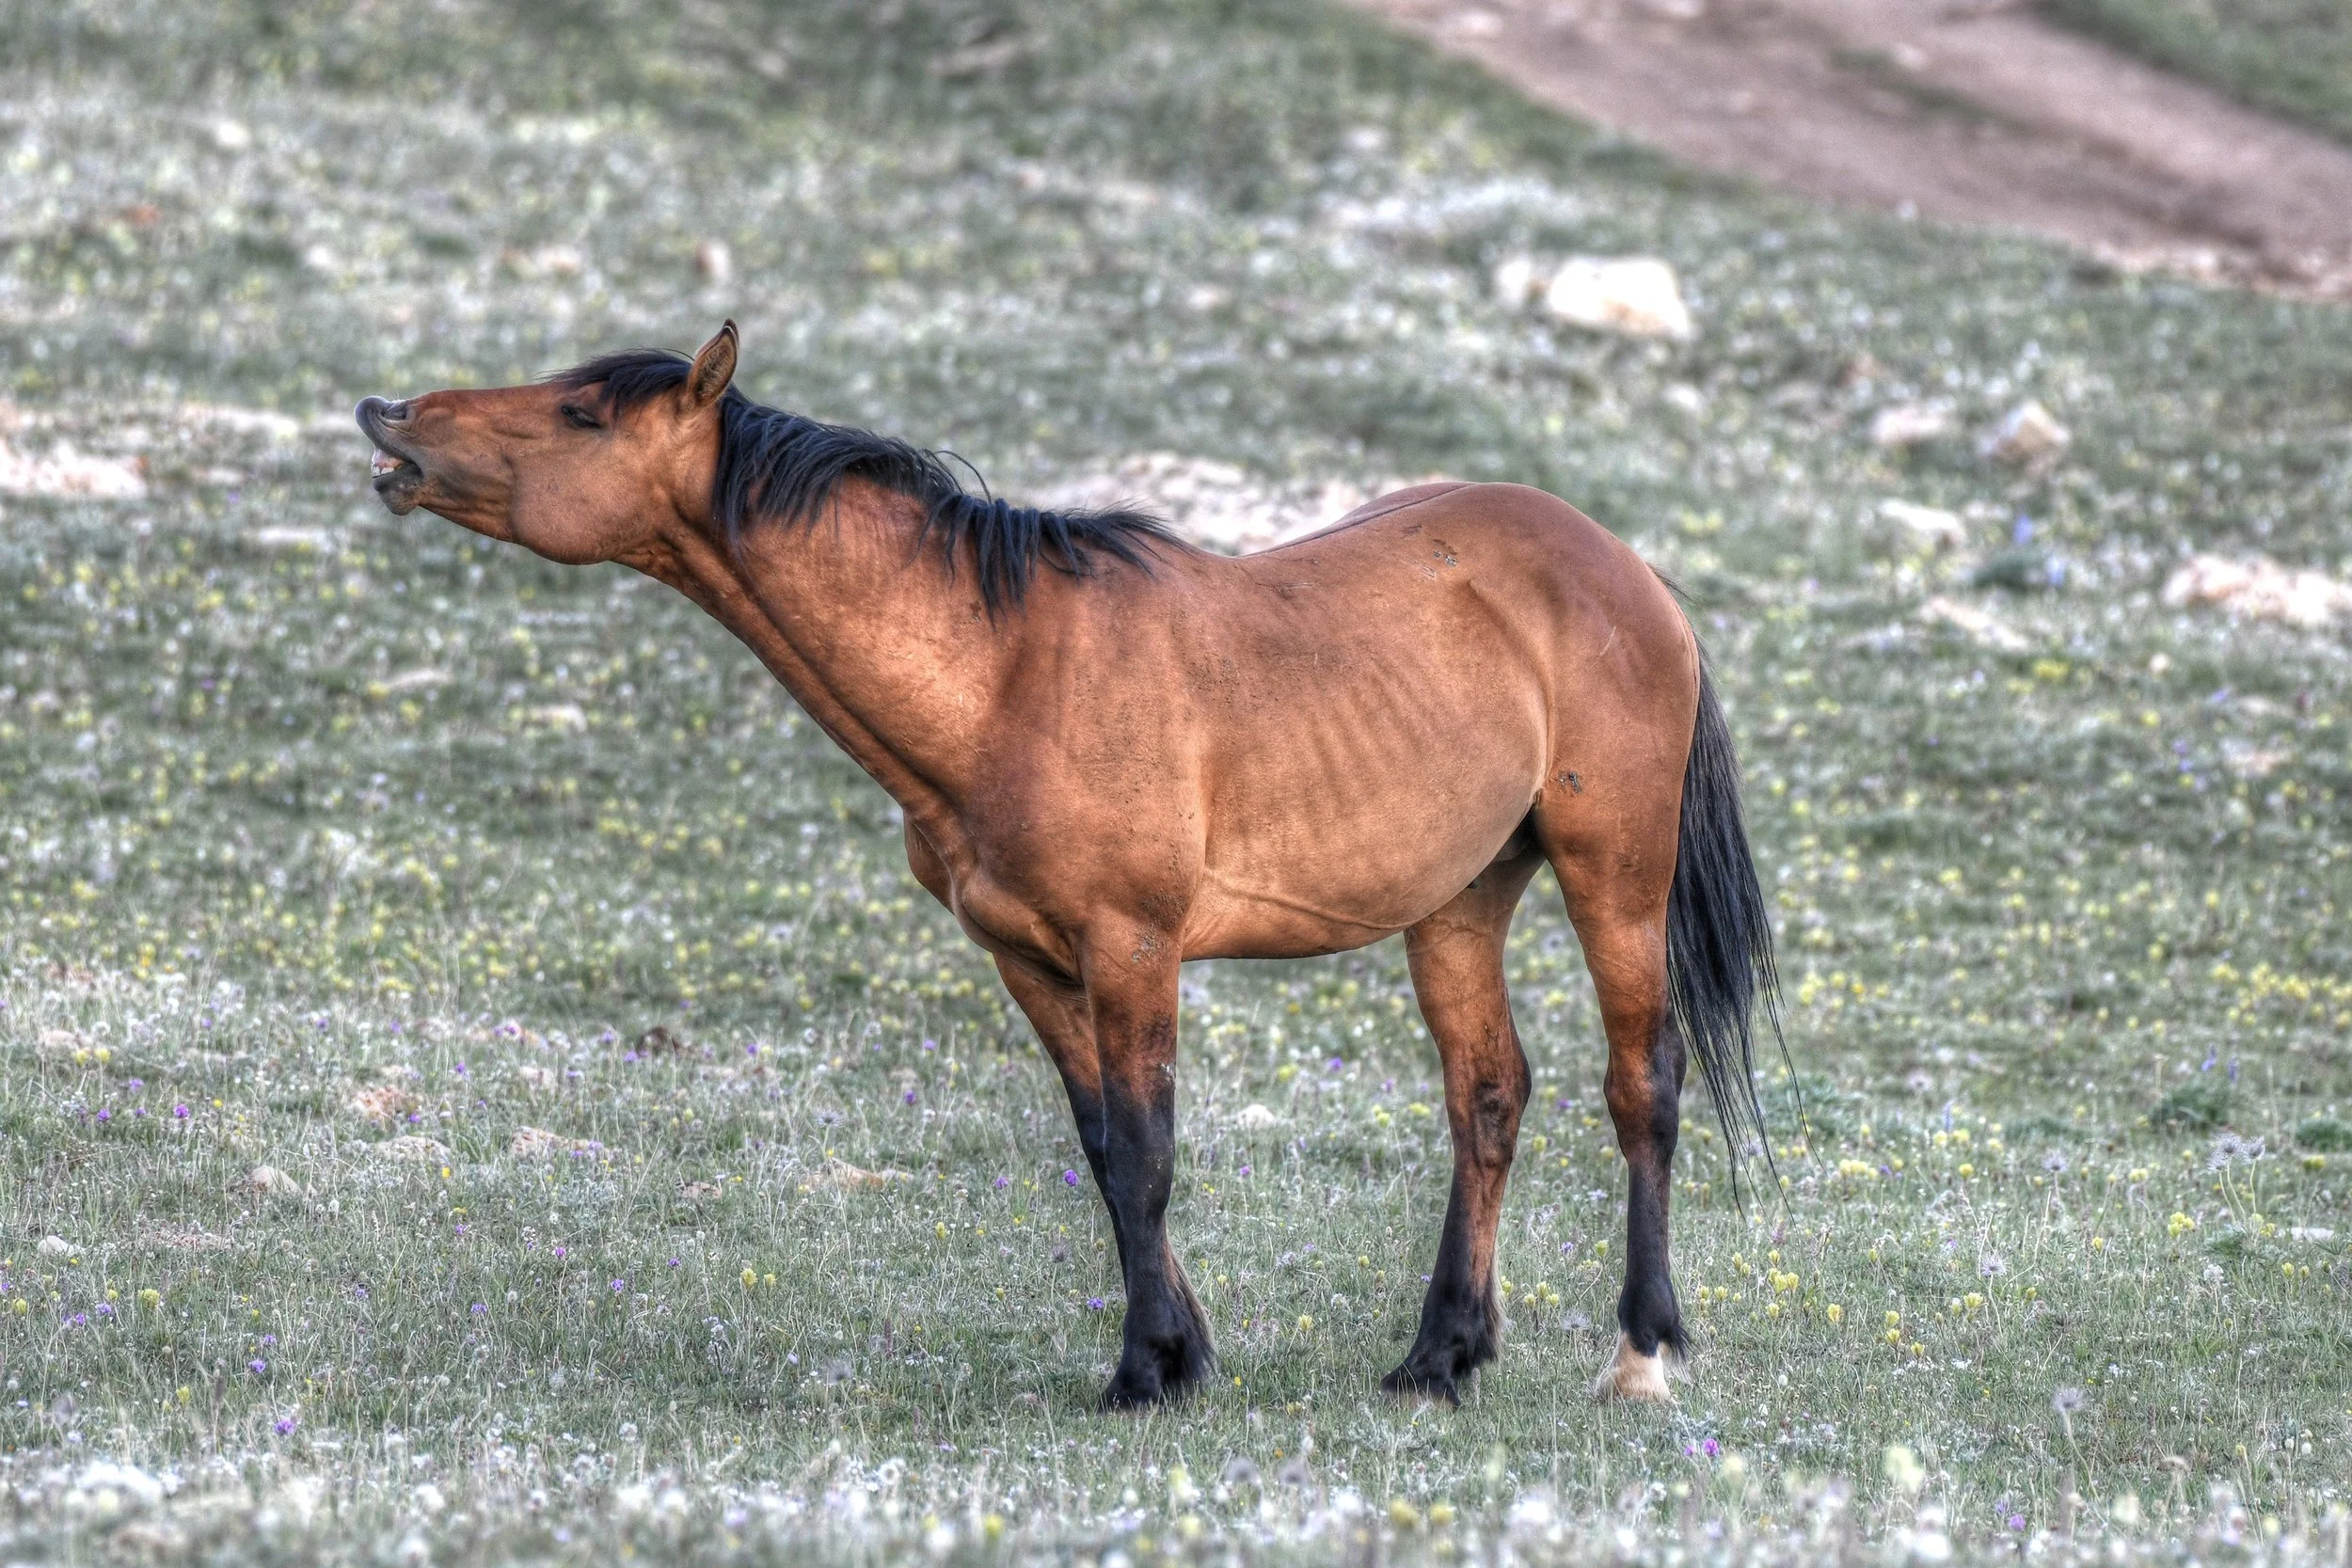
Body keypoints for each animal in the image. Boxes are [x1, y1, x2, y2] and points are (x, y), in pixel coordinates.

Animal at [356, 321, 1779, 1410]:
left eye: (581, 411)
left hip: (1614, 876)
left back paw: (1640, 1350)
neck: (1004, 674)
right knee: (1487, 1096)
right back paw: (1440, 1356)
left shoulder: (1132, 942)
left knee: (1642, 1083)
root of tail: (1626, 569)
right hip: (1457, 903)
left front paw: (1143, 1372)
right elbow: (1104, 1149)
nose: (390, 414)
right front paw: (1181, 1350)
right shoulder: (1027, 956)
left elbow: (1147, 1149)